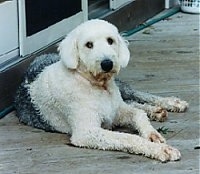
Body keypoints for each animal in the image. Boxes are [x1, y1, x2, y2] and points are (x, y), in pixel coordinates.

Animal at [14, 19, 188, 162]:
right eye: (88, 44)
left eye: (110, 40)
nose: (107, 63)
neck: (97, 86)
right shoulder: (87, 132)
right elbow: (127, 137)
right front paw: (160, 150)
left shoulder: (117, 111)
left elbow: (138, 114)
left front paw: (152, 134)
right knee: (132, 101)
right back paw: (157, 111)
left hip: (121, 89)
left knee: (135, 95)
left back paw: (170, 103)